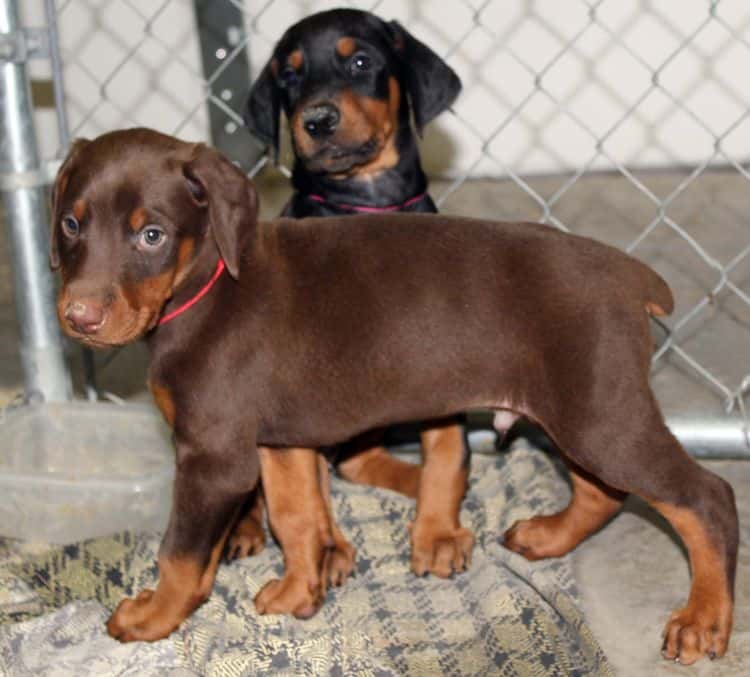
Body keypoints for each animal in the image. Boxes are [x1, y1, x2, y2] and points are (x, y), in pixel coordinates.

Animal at [53, 129, 740, 664]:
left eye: (151, 235)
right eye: (70, 223)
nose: (78, 317)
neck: (210, 282)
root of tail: (628, 273)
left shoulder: (214, 457)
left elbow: (180, 554)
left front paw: (150, 617)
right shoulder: (279, 439)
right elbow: (296, 516)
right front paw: (299, 591)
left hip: (599, 412)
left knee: (704, 496)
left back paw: (703, 618)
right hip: (578, 408)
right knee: (604, 491)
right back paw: (547, 537)